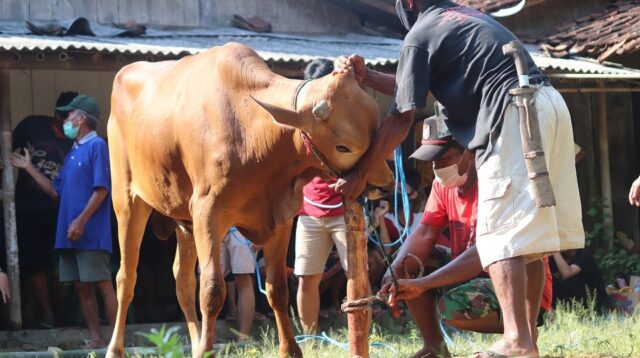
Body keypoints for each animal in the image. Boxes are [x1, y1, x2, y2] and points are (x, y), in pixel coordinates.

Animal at [105, 42, 396, 358]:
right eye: (343, 146)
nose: (387, 183)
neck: (251, 127)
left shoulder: (280, 219)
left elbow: (277, 289)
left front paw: (291, 350)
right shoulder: (207, 214)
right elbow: (212, 290)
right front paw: (207, 351)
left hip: (183, 221)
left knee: (182, 281)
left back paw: (194, 342)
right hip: (128, 202)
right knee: (126, 278)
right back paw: (116, 349)